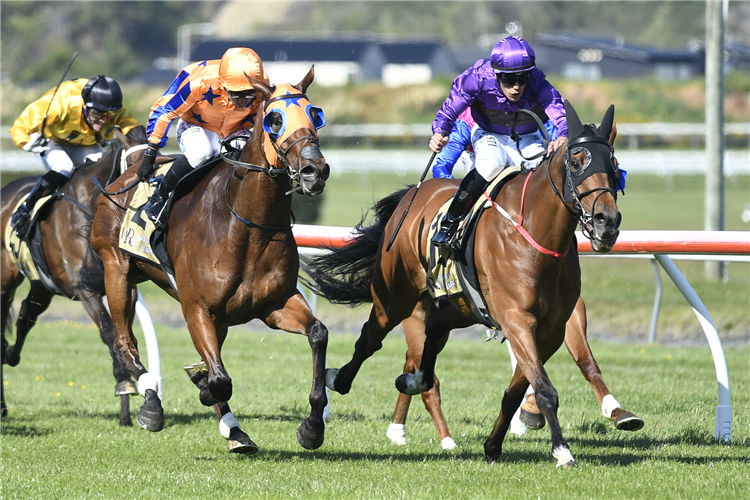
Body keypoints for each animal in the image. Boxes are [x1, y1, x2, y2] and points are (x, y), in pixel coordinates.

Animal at [88, 68, 332, 456]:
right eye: (275, 119)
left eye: (315, 115)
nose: (314, 170)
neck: (246, 224)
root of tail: (121, 179)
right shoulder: (197, 308)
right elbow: (218, 380)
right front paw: (201, 385)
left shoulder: (275, 304)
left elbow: (318, 334)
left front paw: (311, 427)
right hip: (117, 270)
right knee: (125, 343)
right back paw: (152, 403)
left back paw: (234, 431)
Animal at [302, 99, 624, 466]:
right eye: (576, 161)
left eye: (614, 164)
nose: (607, 221)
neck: (537, 237)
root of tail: (414, 192)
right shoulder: (516, 320)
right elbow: (544, 389)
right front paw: (562, 450)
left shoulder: (550, 329)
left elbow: (517, 390)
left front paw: (494, 445)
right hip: (395, 297)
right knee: (370, 338)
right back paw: (337, 380)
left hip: (458, 306)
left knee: (432, 336)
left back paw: (413, 381)